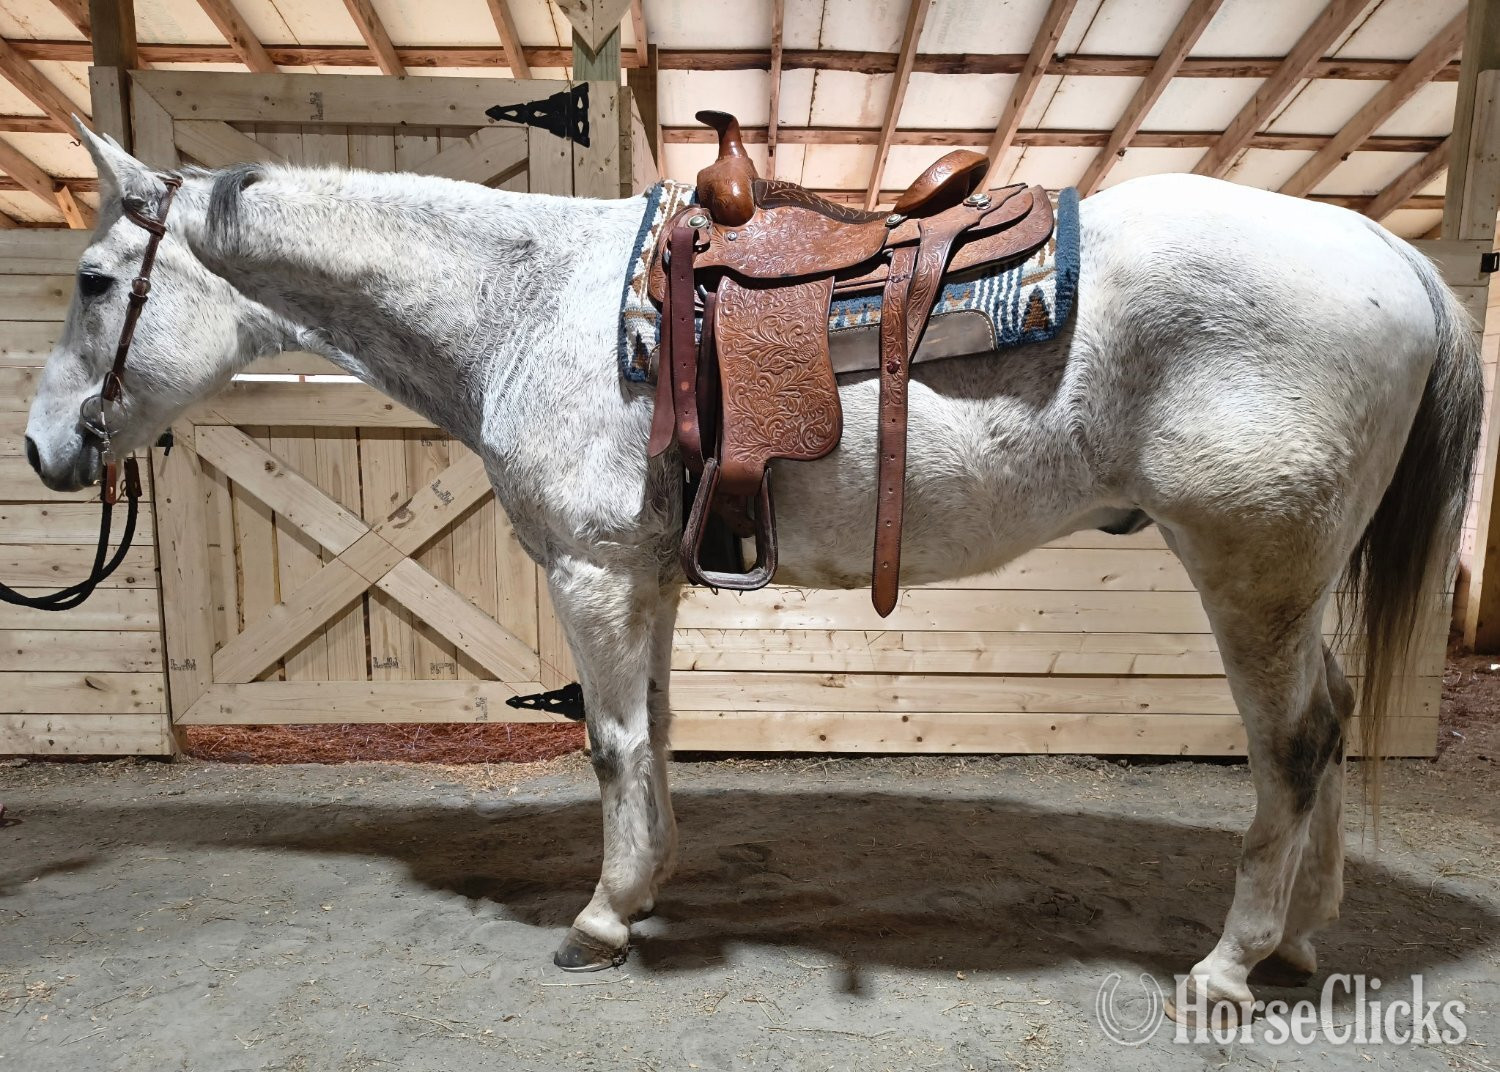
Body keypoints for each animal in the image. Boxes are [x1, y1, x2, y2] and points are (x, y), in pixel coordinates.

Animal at [26, 124, 1480, 1020]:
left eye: (94, 280)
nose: (45, 448)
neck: (533, 305)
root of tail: (1393, 252)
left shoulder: (593, 576)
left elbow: (610, 744)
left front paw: (605, 916)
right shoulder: (645, 581)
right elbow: (656, 736)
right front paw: (651, 883)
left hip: (1254, 570)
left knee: (1293, 746)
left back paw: (1230, 965)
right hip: (1298, 578)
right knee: (1332, 721)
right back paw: (1300, 937)